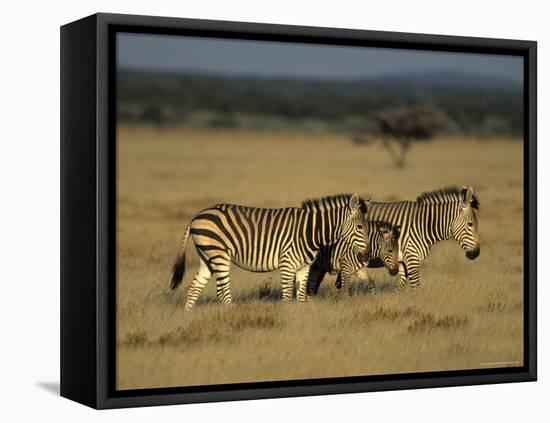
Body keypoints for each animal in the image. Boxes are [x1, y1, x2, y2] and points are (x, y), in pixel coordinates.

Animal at [171, 194, 370, 310]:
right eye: (360, 227)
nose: (367, 256)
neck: (310, 231)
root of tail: (196, 216)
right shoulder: (287, 263)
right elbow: (288, 297)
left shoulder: (304, 267)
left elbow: (301, 297)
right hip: (219, 254)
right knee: (222, 291)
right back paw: (232, 314)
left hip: (207, 256)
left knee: (194, 287)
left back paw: (188, 316)